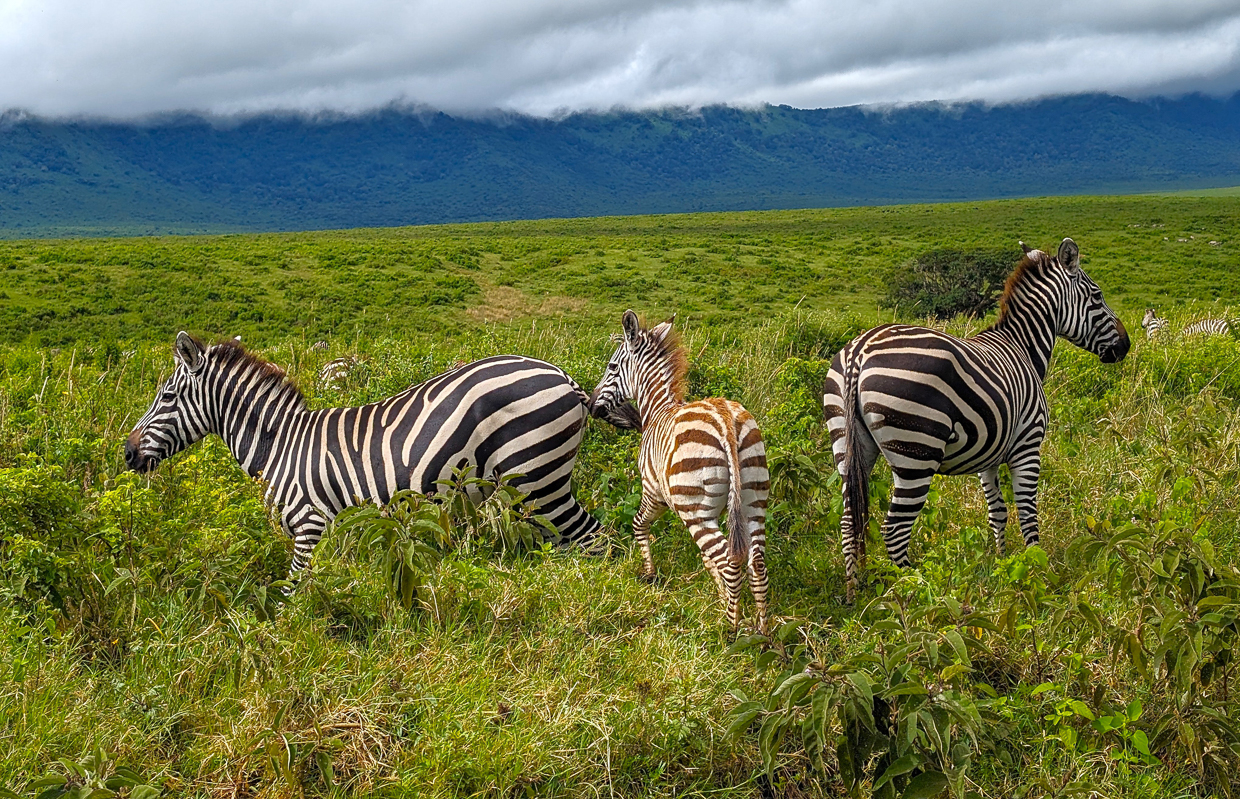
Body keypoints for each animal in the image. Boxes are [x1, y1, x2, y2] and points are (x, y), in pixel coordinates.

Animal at [125, 333, 639, 580]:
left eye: (166, 397)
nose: (127, 453)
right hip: (533, 487)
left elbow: (294, 593)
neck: (282, 444)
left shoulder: (310, 525)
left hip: (537, 479)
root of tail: (566, 378)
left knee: (594, 539)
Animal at [589, 310, 770, 633]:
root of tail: (725, 420)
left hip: (694, 510)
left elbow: (638, 524)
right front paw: (721, 595)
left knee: (729, 562)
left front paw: (649, 574)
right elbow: (706, 559)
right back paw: (763, 632)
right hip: (752, 499)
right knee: (755, 563)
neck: (658, 409)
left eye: (611, 367)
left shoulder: (654, 493)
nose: (591, 404)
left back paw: (730, 630)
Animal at [824, 239, 1129, 602]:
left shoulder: (989, 455)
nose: (1125, 345)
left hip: (848, 443)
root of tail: (860, 350)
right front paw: (1035, 570)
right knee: (894, 529)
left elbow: (997, 512)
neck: (1023, 348)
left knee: (849, 521)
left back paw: (854, 592)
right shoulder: (1028, 445)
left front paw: (1002, 563)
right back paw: (918, 589)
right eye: (1096, 295)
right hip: (917, 452)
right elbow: (1028, 512)